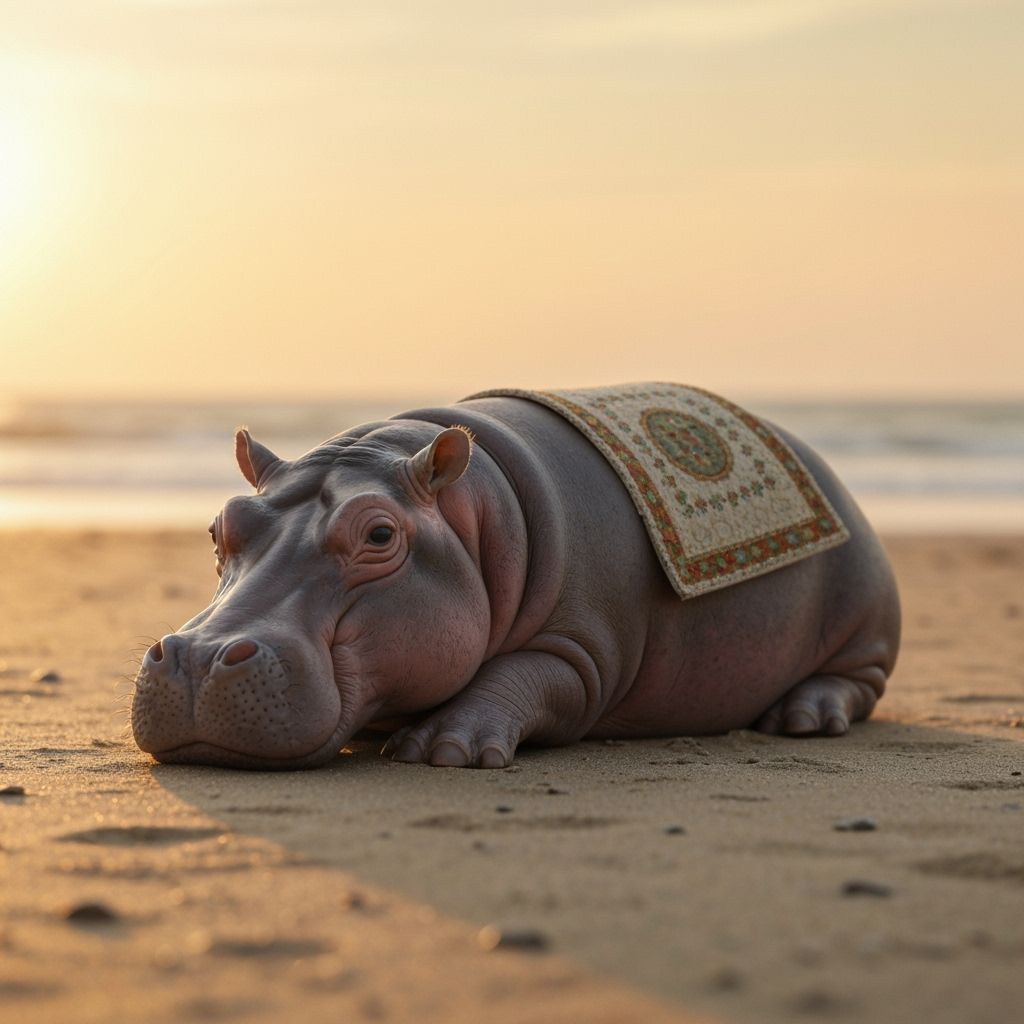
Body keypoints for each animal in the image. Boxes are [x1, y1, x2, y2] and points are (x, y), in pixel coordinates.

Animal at [131, 385, 900, 770]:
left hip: (865, 617)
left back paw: (802, 719)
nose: (197, 658)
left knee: (855, 682)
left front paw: (443, 751)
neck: (471, 515)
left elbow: (528, 674)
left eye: (379, 534)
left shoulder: (585, 651)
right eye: (222, 524)